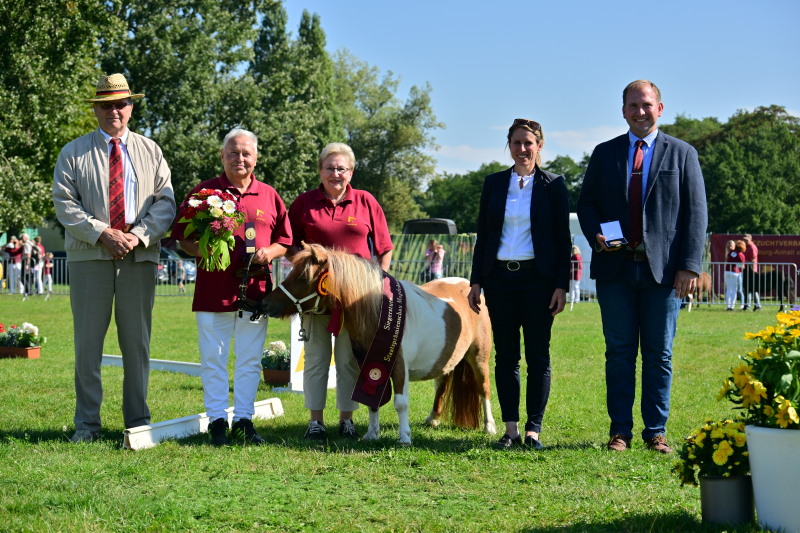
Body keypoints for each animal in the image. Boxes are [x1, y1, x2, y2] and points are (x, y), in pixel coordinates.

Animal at [266, 243, 496, 442]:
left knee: (483, 387)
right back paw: (433, 419)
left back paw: (489, 426)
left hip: (479, 358)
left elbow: (400, 403)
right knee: (442, 384)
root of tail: (469, 287)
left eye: (303, 277)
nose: (266, 303)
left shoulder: (399, 367)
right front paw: (371, 434)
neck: (377, 312)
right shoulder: (368, 366)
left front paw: (404, 437)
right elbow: (371, 403)